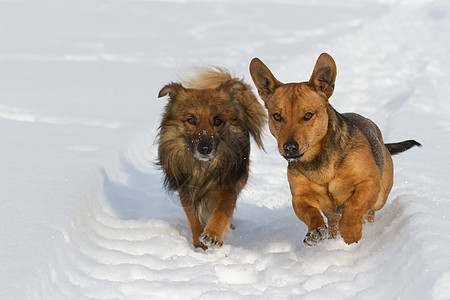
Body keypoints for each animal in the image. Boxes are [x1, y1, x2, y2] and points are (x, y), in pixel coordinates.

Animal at [157, 67, 266, 250]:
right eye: (191, 120)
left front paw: (212, 235)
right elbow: (193, 216)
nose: (205, 149)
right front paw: (199, 243)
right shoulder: (185, 187)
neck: (202, 166)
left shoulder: (229, 185)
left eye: (218, 121)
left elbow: (222, 211)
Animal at [248, 53, 420, 246]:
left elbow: (354, 206)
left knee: (369, 212)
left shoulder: (368, 182)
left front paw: (351, 231)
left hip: (380, 196)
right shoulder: (300, 197)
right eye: (277, 116)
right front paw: (315, 231)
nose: (290, 147)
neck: (319, 162)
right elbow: (310, 213)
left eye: (308, 115)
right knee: (333, 221)